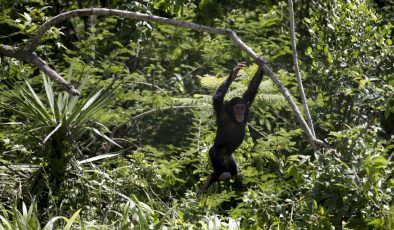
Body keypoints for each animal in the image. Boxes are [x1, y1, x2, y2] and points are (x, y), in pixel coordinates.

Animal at [203, 58, 264, 190]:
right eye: (237, 108)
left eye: (242, 107)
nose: (240, 112)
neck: (233, 118)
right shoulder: (221, 110)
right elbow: (217, 98)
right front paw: (234, 74)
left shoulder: (247, 103)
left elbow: (252, 89)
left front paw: (261, 64)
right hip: (220, 160)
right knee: (214, 151)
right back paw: (219, 175)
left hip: (230, 159)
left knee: (234, 172)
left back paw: (214, 178)